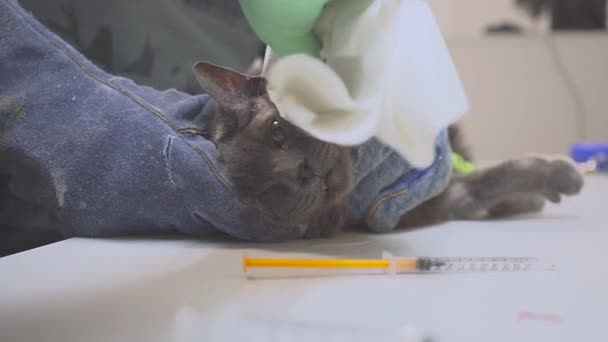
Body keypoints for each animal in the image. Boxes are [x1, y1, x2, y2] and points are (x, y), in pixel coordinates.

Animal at [195, 61, 584, 238]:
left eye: (277, 130)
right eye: (269, 193)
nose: (301, 172)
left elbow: (491, 176)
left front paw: (548, 187)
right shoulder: (432, 195)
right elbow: (490, 179)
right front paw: (559, 180)